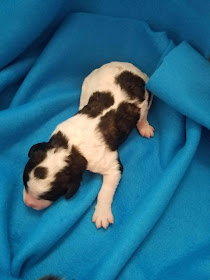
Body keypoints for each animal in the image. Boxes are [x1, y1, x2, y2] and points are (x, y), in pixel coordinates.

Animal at [23, 61, 154, 230]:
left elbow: (105, 191)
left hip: (148, 97)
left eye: (49, 196)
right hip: (88, 81)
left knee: (144, 115)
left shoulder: (111, 165)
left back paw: (144, 126)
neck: (69, 149)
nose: (27, 203)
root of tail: (127, 65)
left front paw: (102, 214)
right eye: (24, 183)